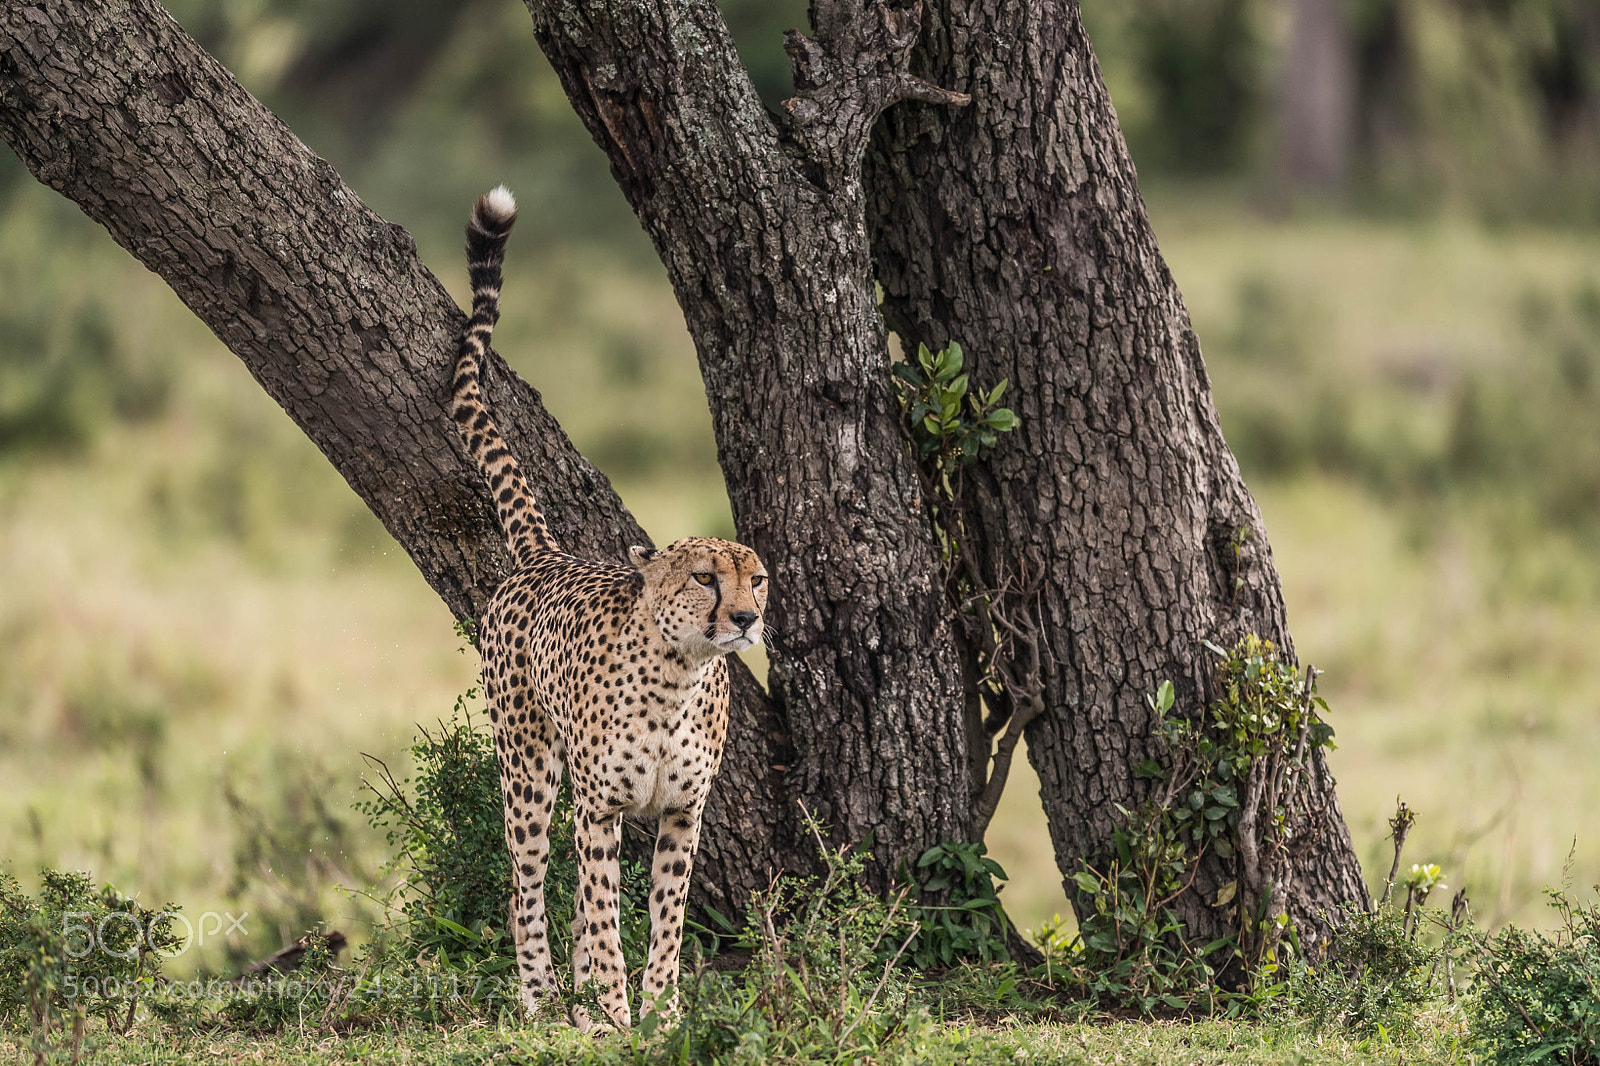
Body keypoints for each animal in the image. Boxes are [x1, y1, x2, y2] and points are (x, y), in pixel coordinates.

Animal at [449, 186, 768, 1031]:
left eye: (757, 579)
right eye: (703, 577)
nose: (748, 620)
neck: (680, 677)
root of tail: (547, 555)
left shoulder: (681, 812)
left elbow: (665, 918)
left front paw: (664, 1014)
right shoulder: (601, 808)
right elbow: (600, 914)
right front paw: (616, 1018)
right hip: (528, 767)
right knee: (527, 884)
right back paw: (544, 999)